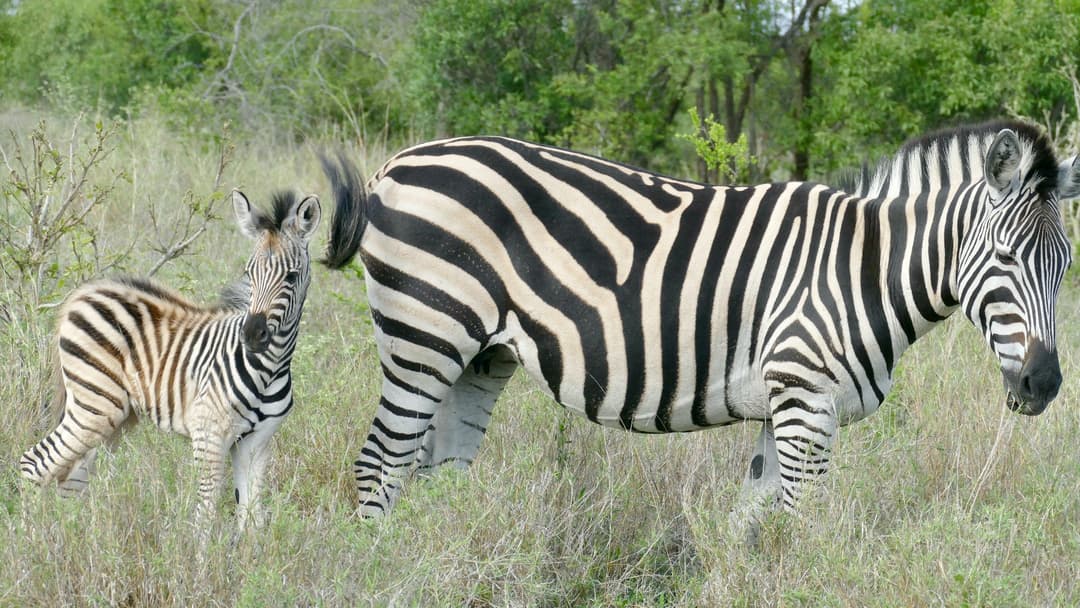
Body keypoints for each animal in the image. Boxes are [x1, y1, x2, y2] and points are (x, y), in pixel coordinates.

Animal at [19, 189, 321, 540]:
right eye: (249, 273)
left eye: (292, 276)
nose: (252, 335)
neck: (269, 368)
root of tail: (82, 293)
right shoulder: (208, 433)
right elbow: (206, 513)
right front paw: (200, 556)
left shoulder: (257, 444)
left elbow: (252, 518)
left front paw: (249, 555)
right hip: (94, 406)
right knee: (33, 464)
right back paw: (29, 541)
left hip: (114, 416)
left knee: (71, 478)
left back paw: (73, 539)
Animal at [318, 120, 1078, 541]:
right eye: (1004, 258)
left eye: (1065, 264)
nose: (1043, 384)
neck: (860, 270)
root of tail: (399, 161)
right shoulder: (805, 402)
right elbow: (801, 527)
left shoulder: (783, 407)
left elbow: (753, 524)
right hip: (424, 336)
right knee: (380, 464)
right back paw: (381, 566)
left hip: (477, 356)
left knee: (437, 473)